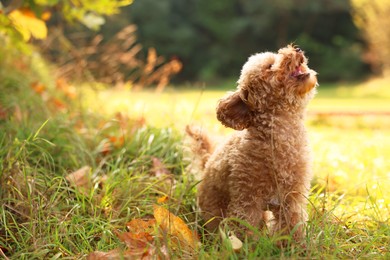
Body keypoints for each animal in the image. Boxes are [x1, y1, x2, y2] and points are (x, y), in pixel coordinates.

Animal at [187, 44, 318, 242]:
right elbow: (244, 227)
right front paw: (247, 246)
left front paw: (293, 245)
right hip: (214, 208)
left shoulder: (291, 197)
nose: (297, 49)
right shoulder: (247, 198)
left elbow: (292, 223)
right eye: (270, 66)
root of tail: (206, 164)